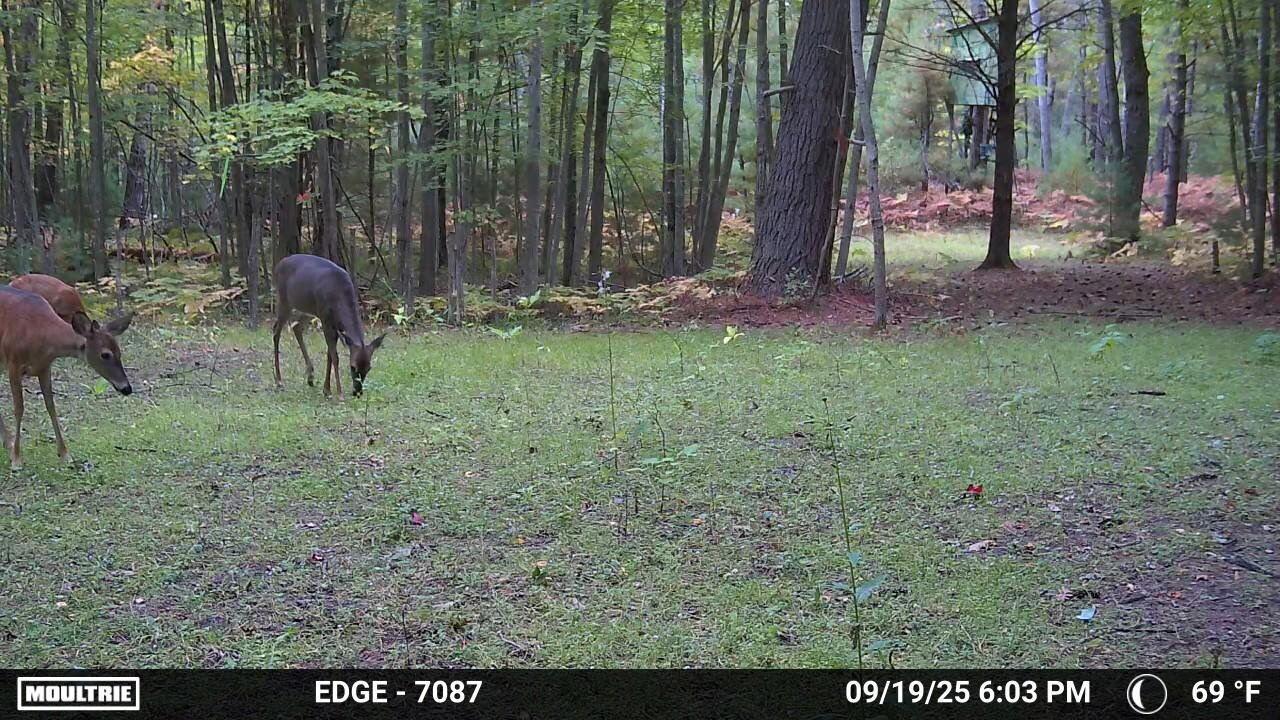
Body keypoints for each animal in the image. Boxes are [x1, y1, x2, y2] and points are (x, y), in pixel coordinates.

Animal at [0, 285, 133, 469]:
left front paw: (65, 455)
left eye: (120, 352)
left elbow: (51, 406)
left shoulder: (44, 367)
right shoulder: (13, 364)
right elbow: (19, 409)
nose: (127, 388)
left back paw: (8, 442)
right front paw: (16, 459)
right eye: (105, 354)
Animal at [272, 254, 385, 398]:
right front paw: (339, 393)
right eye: (352, 366)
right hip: (284, 299)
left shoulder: (334, 324)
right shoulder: (325, 319)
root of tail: (278, 265)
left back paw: (310, 377)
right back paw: (279, 381)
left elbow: (329, 355)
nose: (357, 392)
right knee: (276, 331)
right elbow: (335, 357)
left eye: (369, 368)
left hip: (307, 308)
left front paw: (326, 390)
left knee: (296, 327)